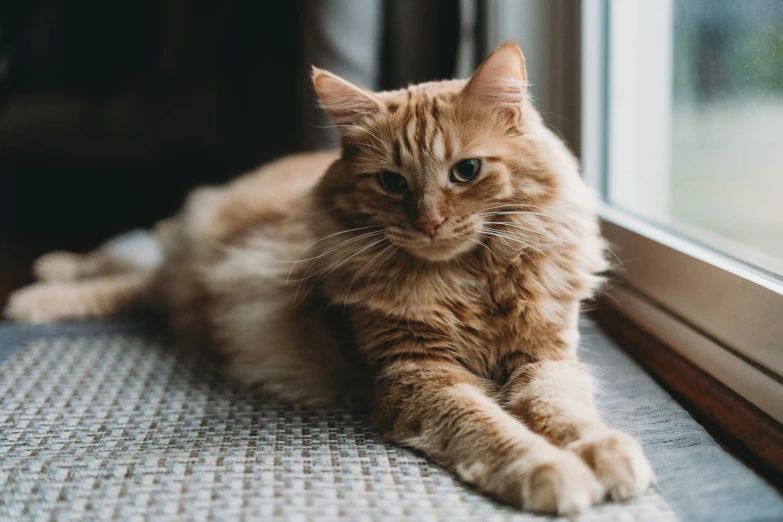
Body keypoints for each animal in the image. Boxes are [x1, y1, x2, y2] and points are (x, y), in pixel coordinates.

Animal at [4, 41, 656, 512]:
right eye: (391, 182)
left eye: (465, 171)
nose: (429, 223)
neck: (466, 281)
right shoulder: (417, 377)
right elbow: (495, 430)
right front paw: (550, 470)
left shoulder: (545, 358)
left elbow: (561, 412)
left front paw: (603, 452)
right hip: (180, 244)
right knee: (126, 266)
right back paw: (38, 290)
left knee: (141, 284)